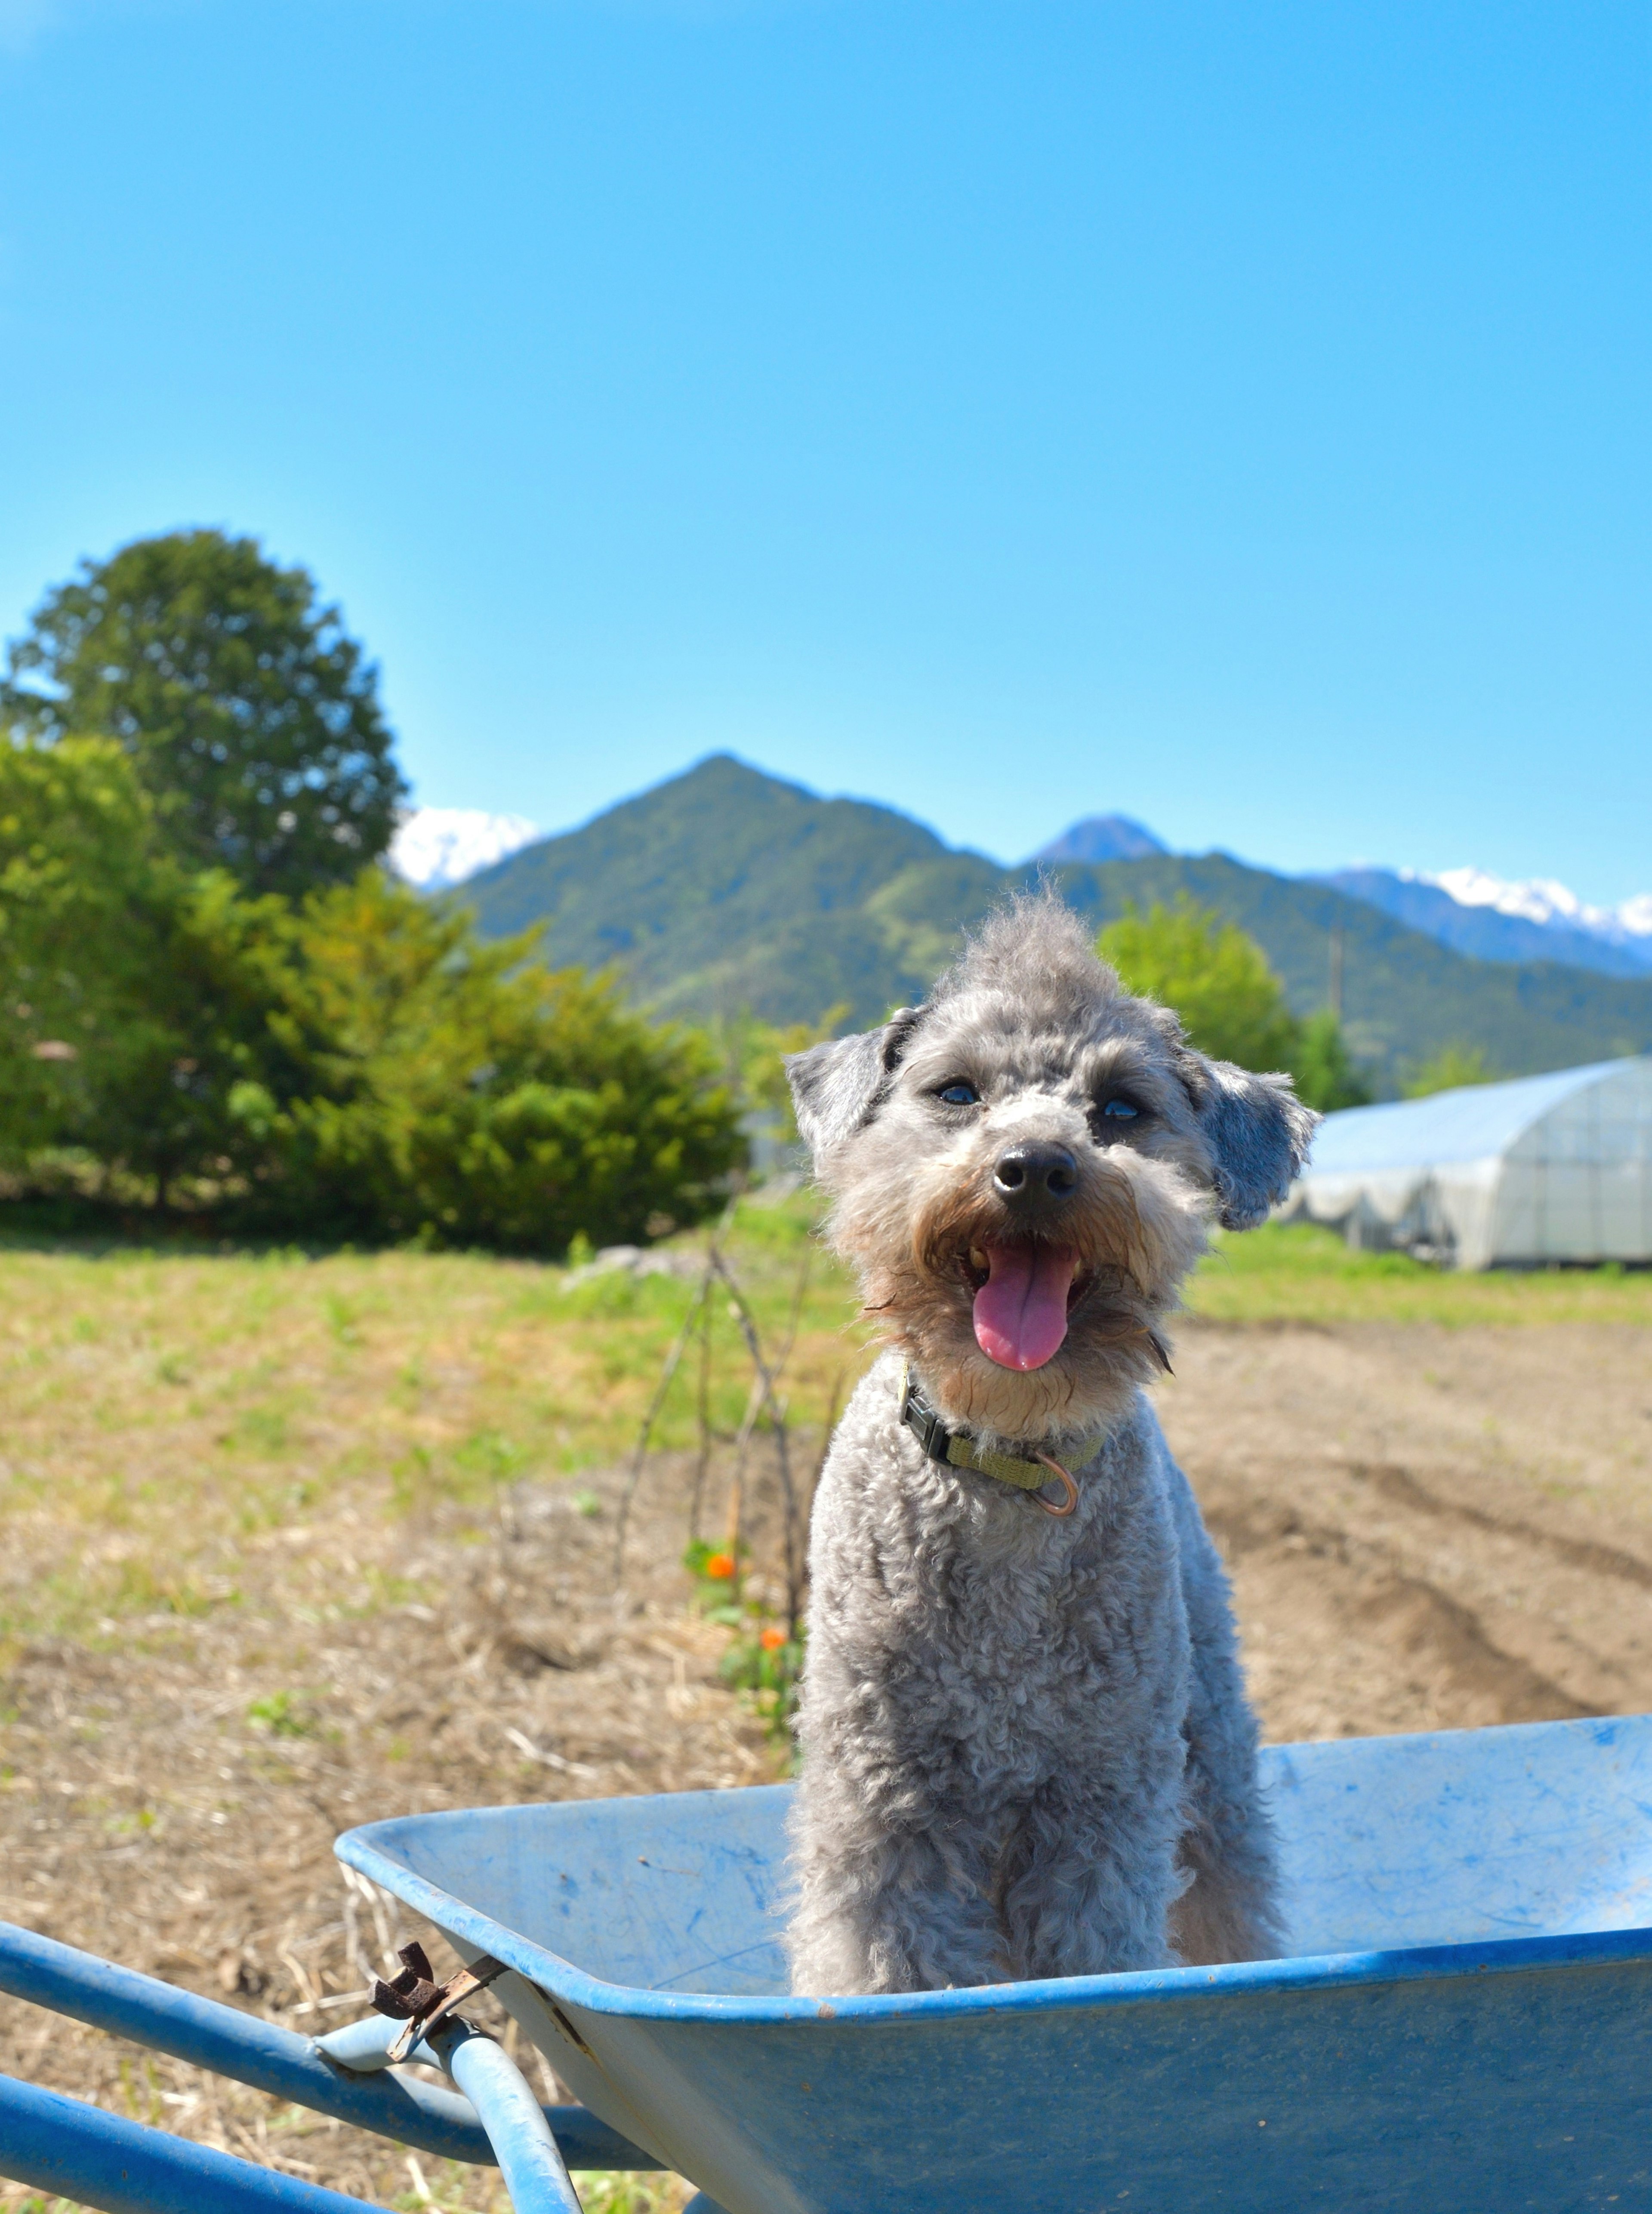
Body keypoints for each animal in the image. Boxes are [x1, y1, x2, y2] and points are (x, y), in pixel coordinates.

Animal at [784, 890, 1311, 2001]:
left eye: (1121, 1108)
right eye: (956, 1091)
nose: (1032, 1167)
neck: (1008, 1462)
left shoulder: (1100, 1807)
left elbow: (1100, 1953)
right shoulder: (886, 1803)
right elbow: (889, 1966)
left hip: (1208, 1745)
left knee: (1230, 1885)